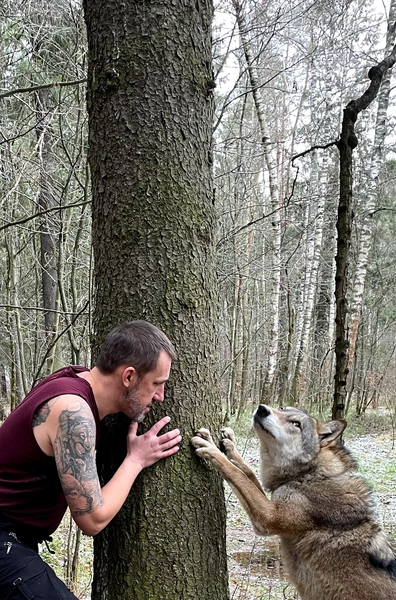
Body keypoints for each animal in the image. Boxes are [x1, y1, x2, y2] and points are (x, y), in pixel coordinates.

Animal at [192, 404, 396, 600]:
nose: (262, 408)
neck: (311, 474)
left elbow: (236, 473)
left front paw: (211, 448)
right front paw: (228, 443)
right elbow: (247, 471)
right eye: (282, 408)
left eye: (296, 424)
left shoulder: (267, 518)